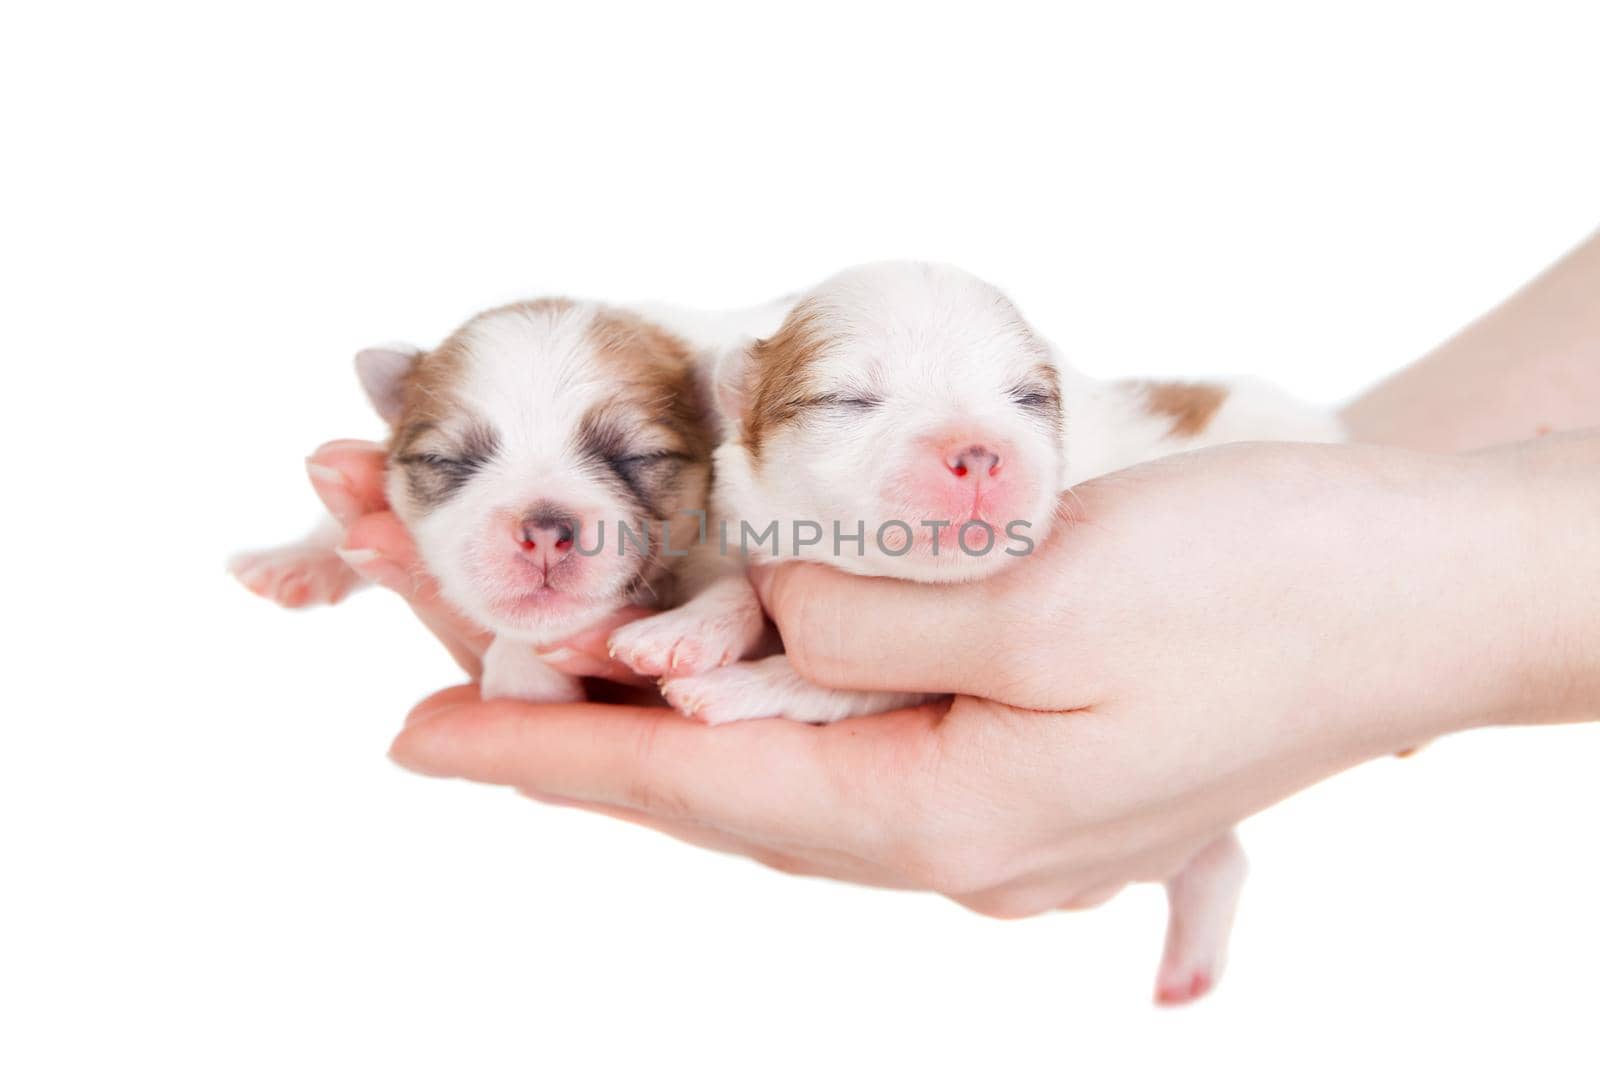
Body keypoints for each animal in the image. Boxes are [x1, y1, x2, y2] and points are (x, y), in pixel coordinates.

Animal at [232, 294, 787, 701]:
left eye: (638, 456)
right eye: (445, 461)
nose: (543, 532)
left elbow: (732, 584)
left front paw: (683, 631)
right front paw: (295, 558)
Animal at [617, 259, 1344, 1005]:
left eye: (1028, 398)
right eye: (849, 400)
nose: (978, 450)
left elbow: (842, 683)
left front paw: (734, 686)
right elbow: (733, 578)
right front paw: (685, 629)